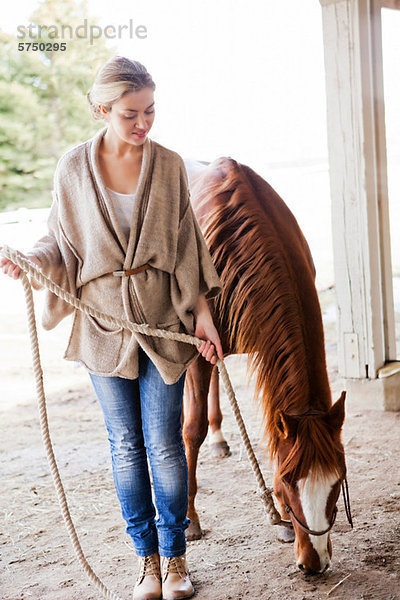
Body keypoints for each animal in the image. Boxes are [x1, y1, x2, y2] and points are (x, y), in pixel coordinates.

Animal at [183, 157, 348, 576]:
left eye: (337, 482)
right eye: (286, 485)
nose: (314, 563)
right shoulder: (196, 350)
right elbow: (191, 430)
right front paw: (189, 519)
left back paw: (221, 439)